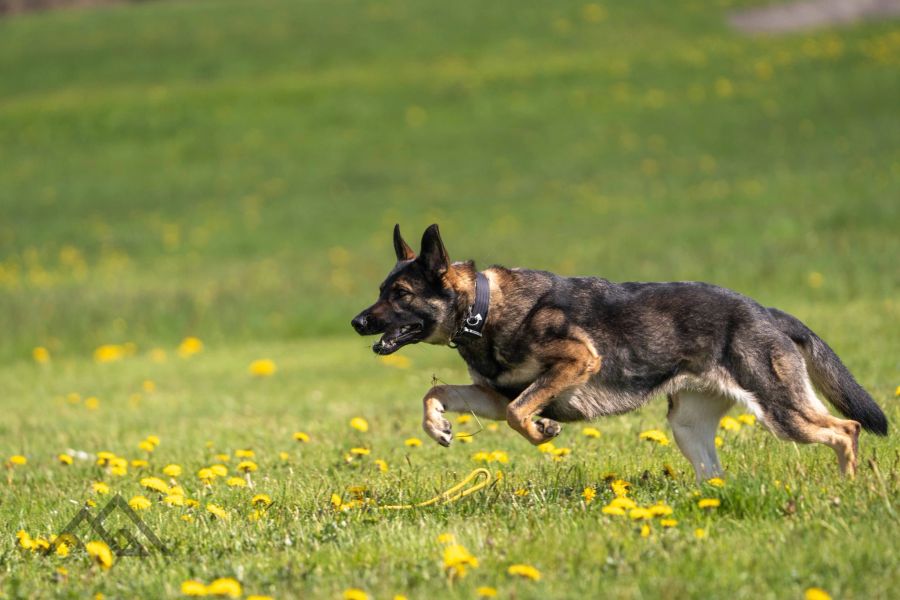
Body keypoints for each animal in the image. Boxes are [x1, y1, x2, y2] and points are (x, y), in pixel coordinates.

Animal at [350, 223, 884, 480]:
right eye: (380, 291)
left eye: (400, 294)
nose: (356, 322)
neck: (483, 308)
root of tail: (766, 311)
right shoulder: (493, 398)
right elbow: (436, 394)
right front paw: (437, 426)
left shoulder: (577, 362)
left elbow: (523, 414)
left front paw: (543, 432)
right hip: (689, 426)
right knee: (716, 475)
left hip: (780, 411)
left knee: (846, 429)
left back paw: (846, 488)